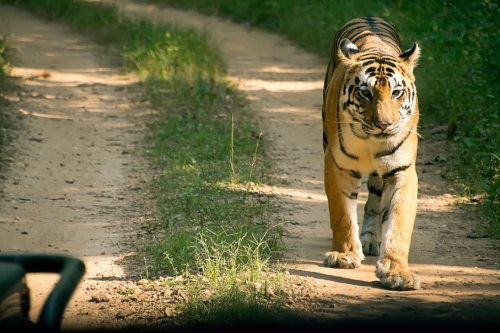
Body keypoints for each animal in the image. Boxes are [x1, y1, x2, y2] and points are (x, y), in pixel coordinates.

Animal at [320, 16, 422, 290]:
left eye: (396, 93)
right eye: (365, 93)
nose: (383, 125)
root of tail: (369, 16)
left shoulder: (402, 171)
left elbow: (398, 222)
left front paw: (397, 272)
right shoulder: (337, 165)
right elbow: (342, 214)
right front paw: (344, 255)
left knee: (375, 201)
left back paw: (371, 239)